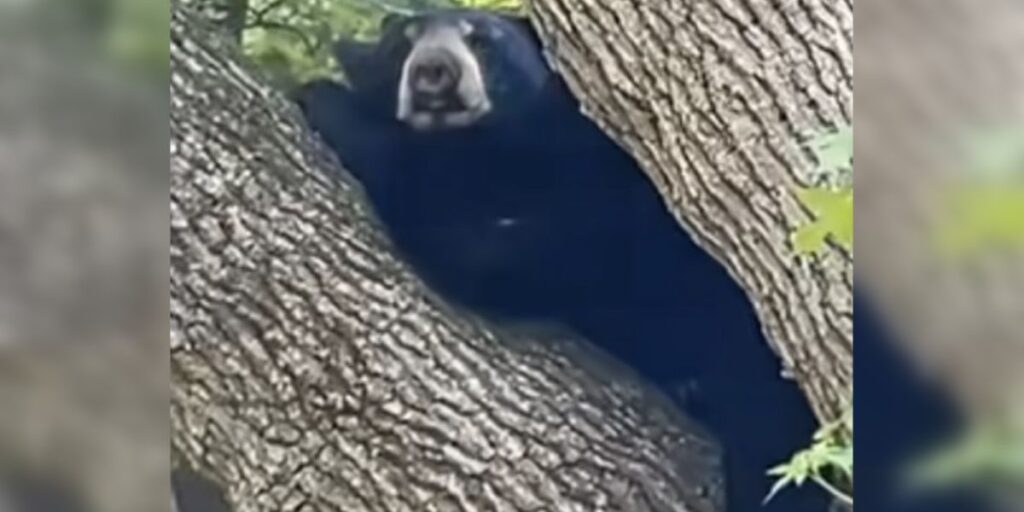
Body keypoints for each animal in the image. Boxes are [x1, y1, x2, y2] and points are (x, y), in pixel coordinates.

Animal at [295, 9, 826, 512]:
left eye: (483, 41)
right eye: (402, 43)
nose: (434, 69)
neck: (484, 150)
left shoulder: (598, 193)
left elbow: (492, 248)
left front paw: (329, 103)